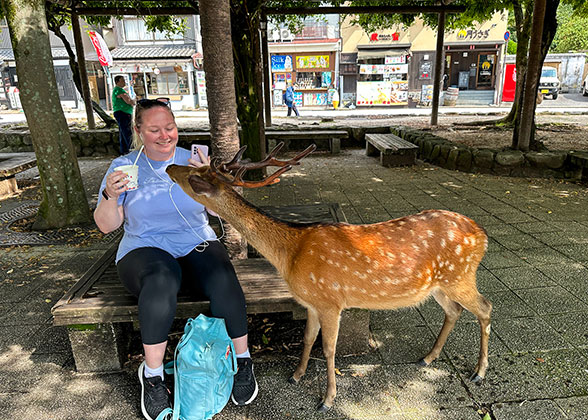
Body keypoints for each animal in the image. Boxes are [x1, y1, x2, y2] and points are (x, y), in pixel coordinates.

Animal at [167, 143, 492, 412]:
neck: (290, 255)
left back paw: (479, 372)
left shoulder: (331, 301)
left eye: (193, 175)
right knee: (455, 310)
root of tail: (482, 235)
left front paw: (327, 399)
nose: (170, 167)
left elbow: (328, 348)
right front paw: (296, 375)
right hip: (439, 284)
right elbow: (308, 338)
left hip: (460, 275)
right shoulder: (311, 302)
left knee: (485, 308)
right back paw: (428, 357)